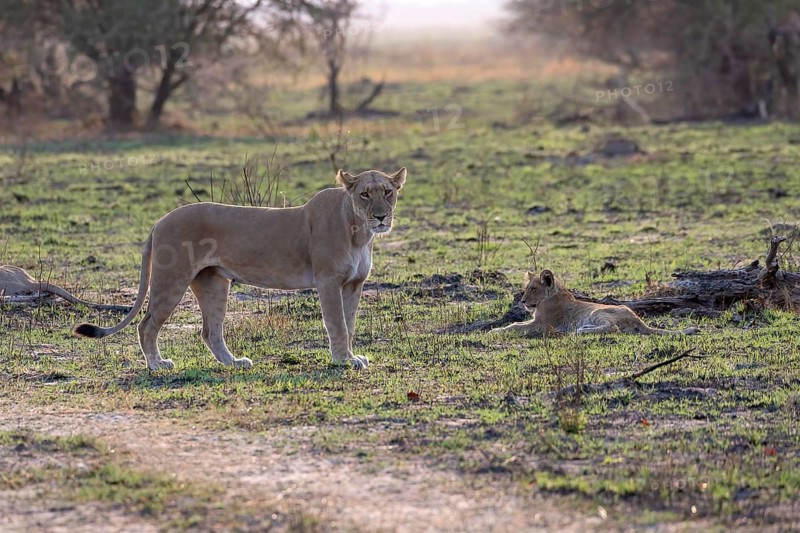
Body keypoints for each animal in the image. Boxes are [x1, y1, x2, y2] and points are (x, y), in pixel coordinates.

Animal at [73, 168, 407, 371]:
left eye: (388, 192)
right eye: (364, 194)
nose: (381, 217)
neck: (359, 232)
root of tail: (159, 220)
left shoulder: (354, 284)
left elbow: (349, 324)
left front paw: (350, 356)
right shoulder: (328, 282)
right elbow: (337, 324)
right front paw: (343, 361)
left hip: (214, 283)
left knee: (210, 331)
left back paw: (233, 363)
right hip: (171, 280)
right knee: (146, 325)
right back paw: (157, 364)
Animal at [492, 269, 699, 336]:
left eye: (533, 289)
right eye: (527, 288)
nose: (523, 301)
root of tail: (638, 320)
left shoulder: (542, 325)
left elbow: (515, 325)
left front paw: (495, 331)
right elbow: (516, 323)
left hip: (597, 312)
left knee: (612, 328)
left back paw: (581, 331)